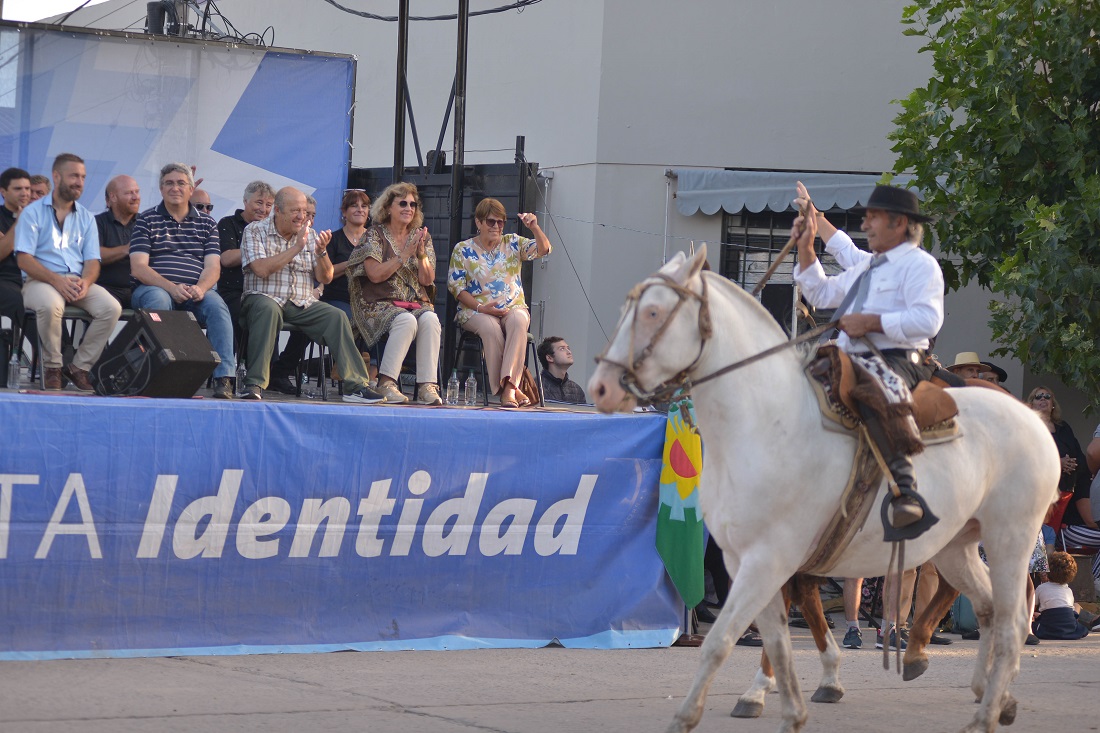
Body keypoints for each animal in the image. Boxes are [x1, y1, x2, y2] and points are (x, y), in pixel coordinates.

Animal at [589, 246, 1060, 730]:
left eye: (653, 312)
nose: (602, 387)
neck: (765, 422)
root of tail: (1030, 417)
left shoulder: (770, 559)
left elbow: (722, 639)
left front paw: (694, 714)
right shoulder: (746, 562)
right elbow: (778, 641)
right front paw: (781, 700)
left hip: (1010, 537)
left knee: (1011, 621)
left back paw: (982, 710)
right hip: (954, 543)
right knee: (986, 607)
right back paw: (985, 690)